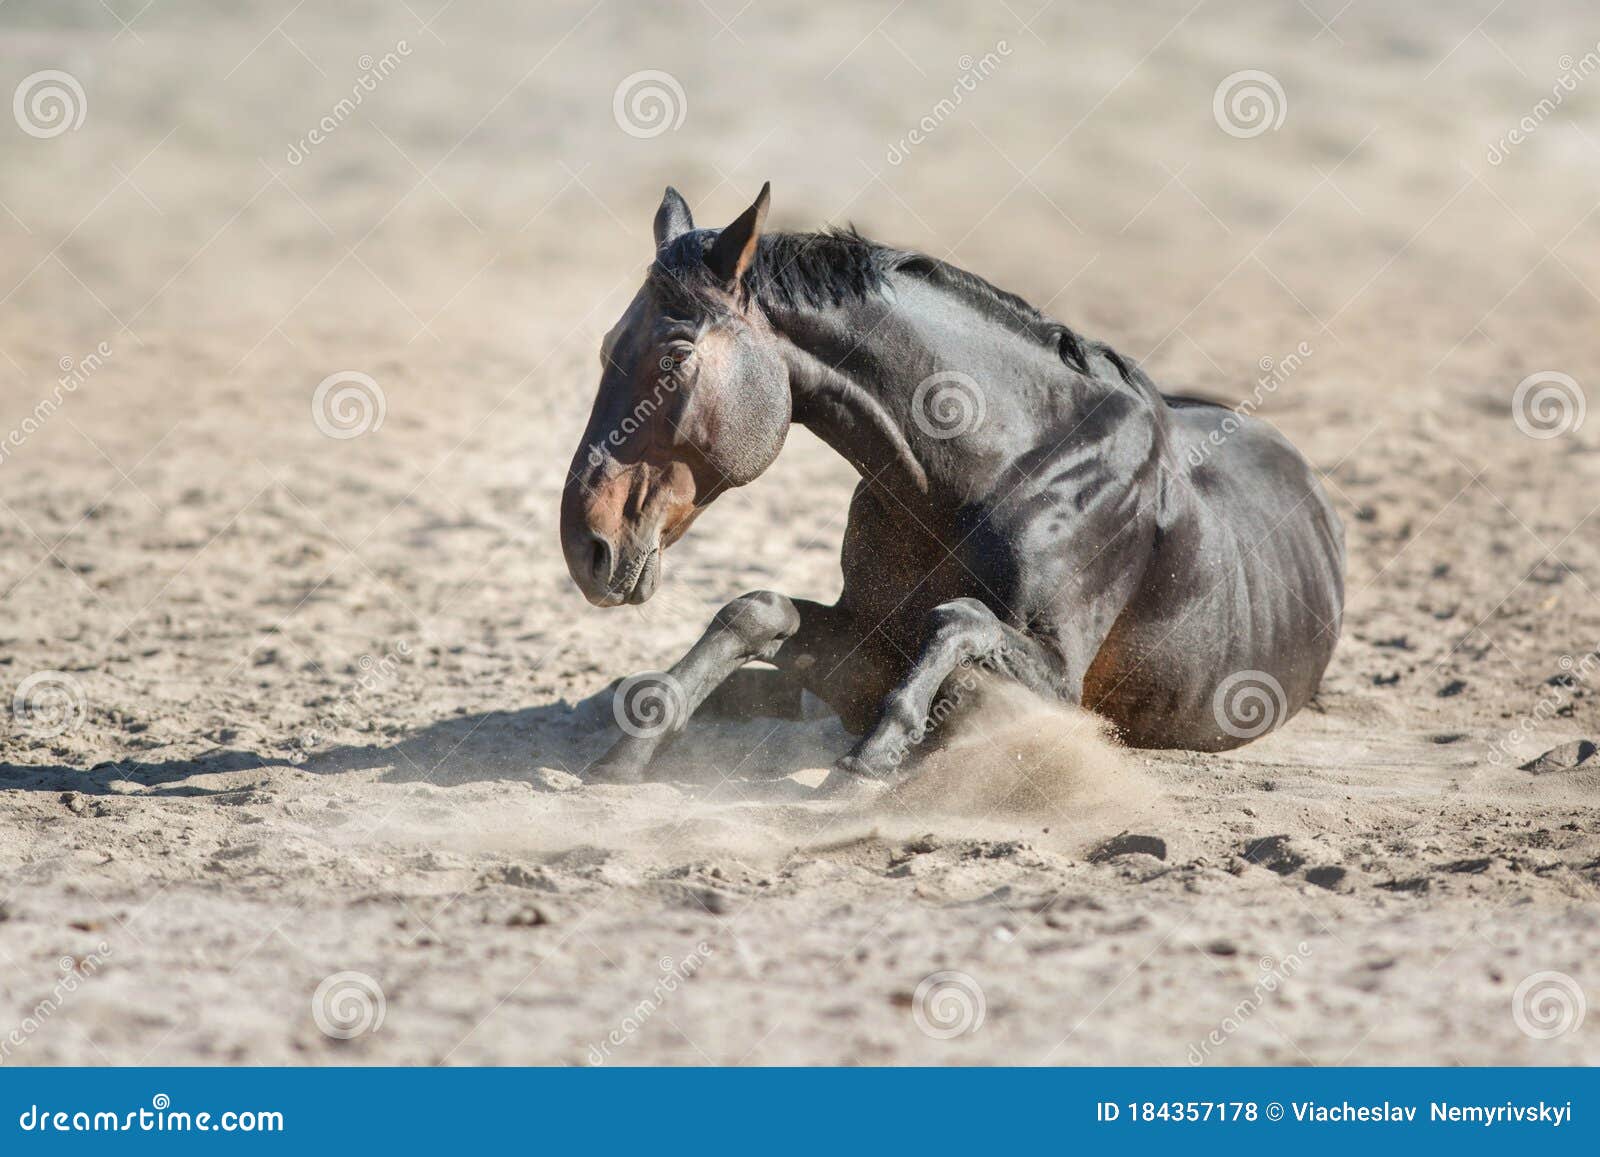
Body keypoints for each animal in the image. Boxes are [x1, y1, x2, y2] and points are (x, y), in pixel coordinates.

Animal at [559, 184, 1345, 791]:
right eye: (604, 348)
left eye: (675, 356)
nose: (585, 546)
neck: (997, 470)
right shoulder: (865, 646)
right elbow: (756, 611)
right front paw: (627, 752)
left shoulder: (1064, 684)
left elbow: (958, 631)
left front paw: (872, 757)